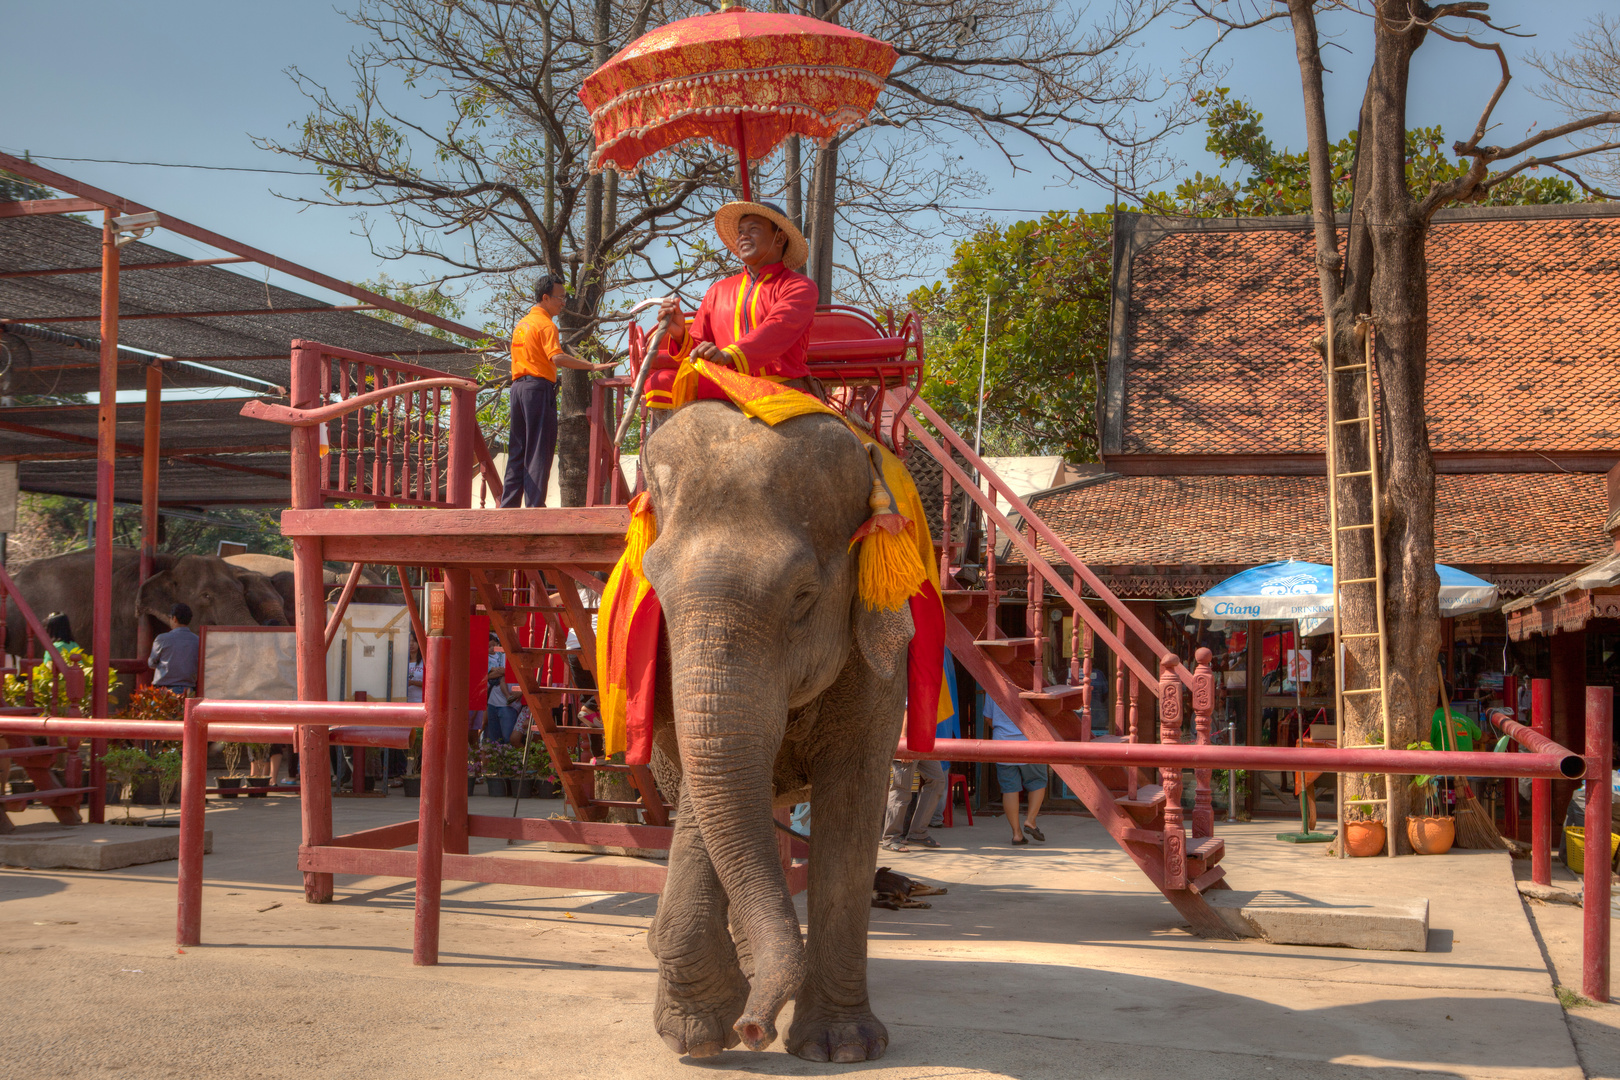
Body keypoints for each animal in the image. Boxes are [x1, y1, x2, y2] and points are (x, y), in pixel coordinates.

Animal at [631, 399, 913, 1062]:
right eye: (655, 590)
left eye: (804, 597)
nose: (754, 1031)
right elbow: (705, 796)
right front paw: (698, 1033)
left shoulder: (877, 666)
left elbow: (853, 803)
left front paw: (842, 1049)